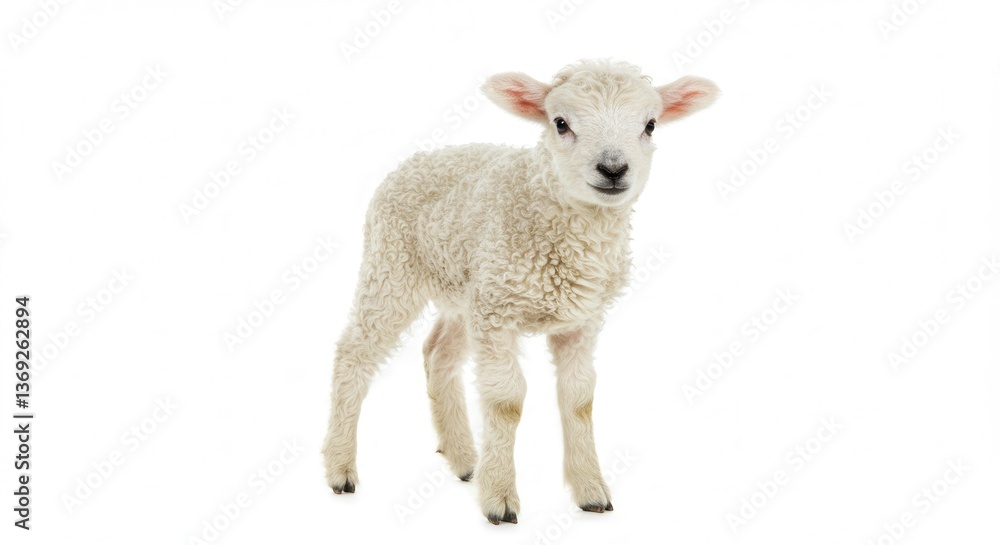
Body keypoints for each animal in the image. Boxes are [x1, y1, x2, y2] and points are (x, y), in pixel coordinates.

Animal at [323, 59, 718, 524]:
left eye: (650, 125)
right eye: (560, 123)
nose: (613, 169)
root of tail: (421, 157)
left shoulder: (581, 320)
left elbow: (579, 398)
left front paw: (591, 492)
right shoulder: (498, 314)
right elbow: (506, 402)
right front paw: (499, 498)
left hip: (466, 290)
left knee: (438, 353)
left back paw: (464, 459)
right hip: (393, 267)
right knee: (354, 352)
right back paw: (340, 468)